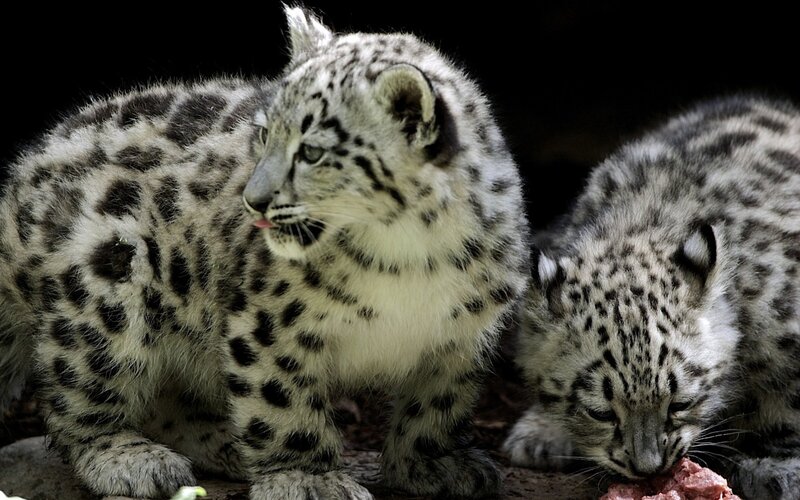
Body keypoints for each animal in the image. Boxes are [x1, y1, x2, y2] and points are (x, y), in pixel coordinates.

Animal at [0, 6, 529, 499]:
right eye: (262, 134)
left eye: (312, 152)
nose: (253, 200)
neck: (409, 254)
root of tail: (20, 175)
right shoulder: (268, 323)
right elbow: (281, 401)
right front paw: (308, 477)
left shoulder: (462, 336)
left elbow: (437, 406)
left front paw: (434, 464)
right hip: (107, 279)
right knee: (77, 393)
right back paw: (130, 459)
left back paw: (223, 446)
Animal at [503, 96, 800, 499]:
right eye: (600, 412)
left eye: (681, 402)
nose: (648, 468)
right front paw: (540, 432)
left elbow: (787, 405)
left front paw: (777, 465)